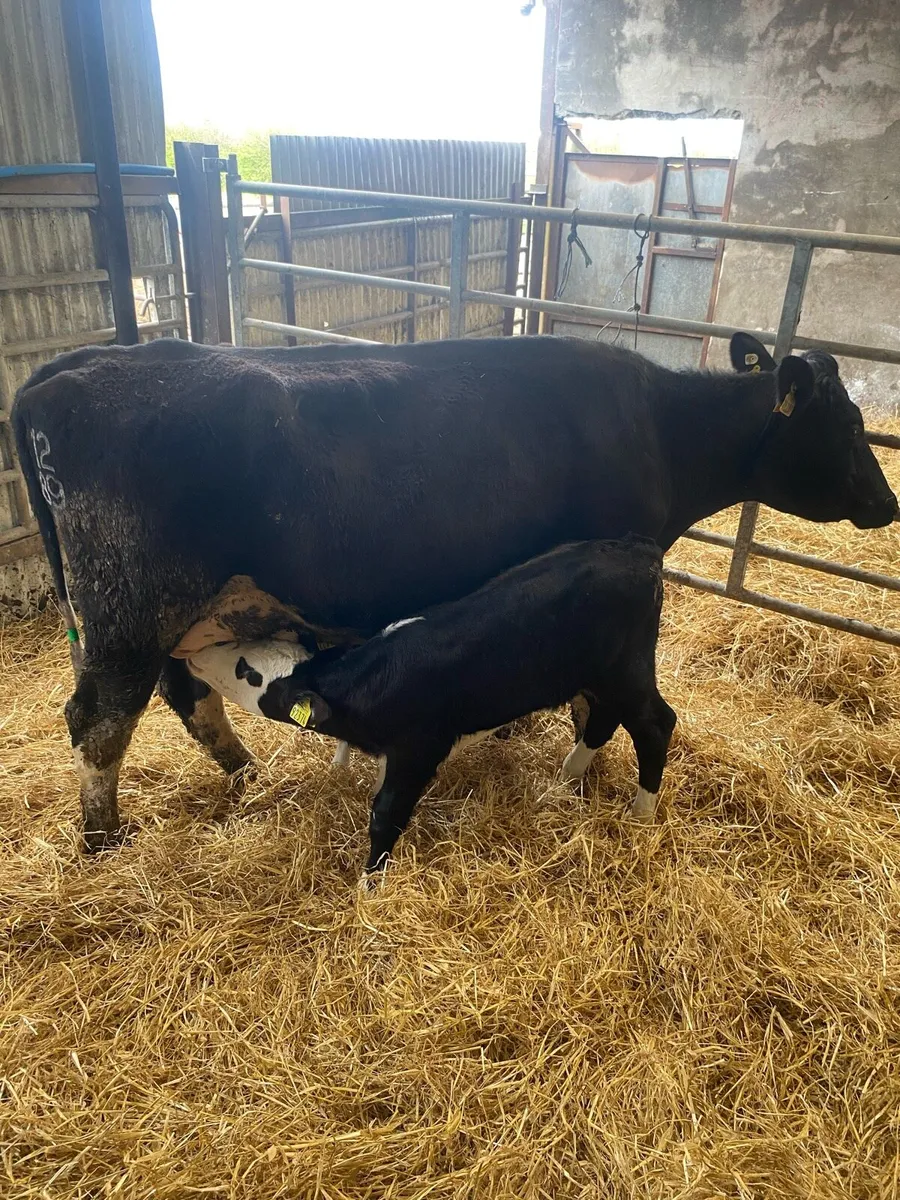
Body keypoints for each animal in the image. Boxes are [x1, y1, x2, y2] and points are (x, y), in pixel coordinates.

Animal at [186, 538, 676, 873]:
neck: (369, 682)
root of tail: (639, 551)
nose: (193, 655)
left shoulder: (419, 749)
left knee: (656, 724)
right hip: (599, 677)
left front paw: (370, 884)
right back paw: (565, 779)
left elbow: (386, 813)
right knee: (604, 720)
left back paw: (640, 814)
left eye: (248, 672)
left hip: (626, 670)